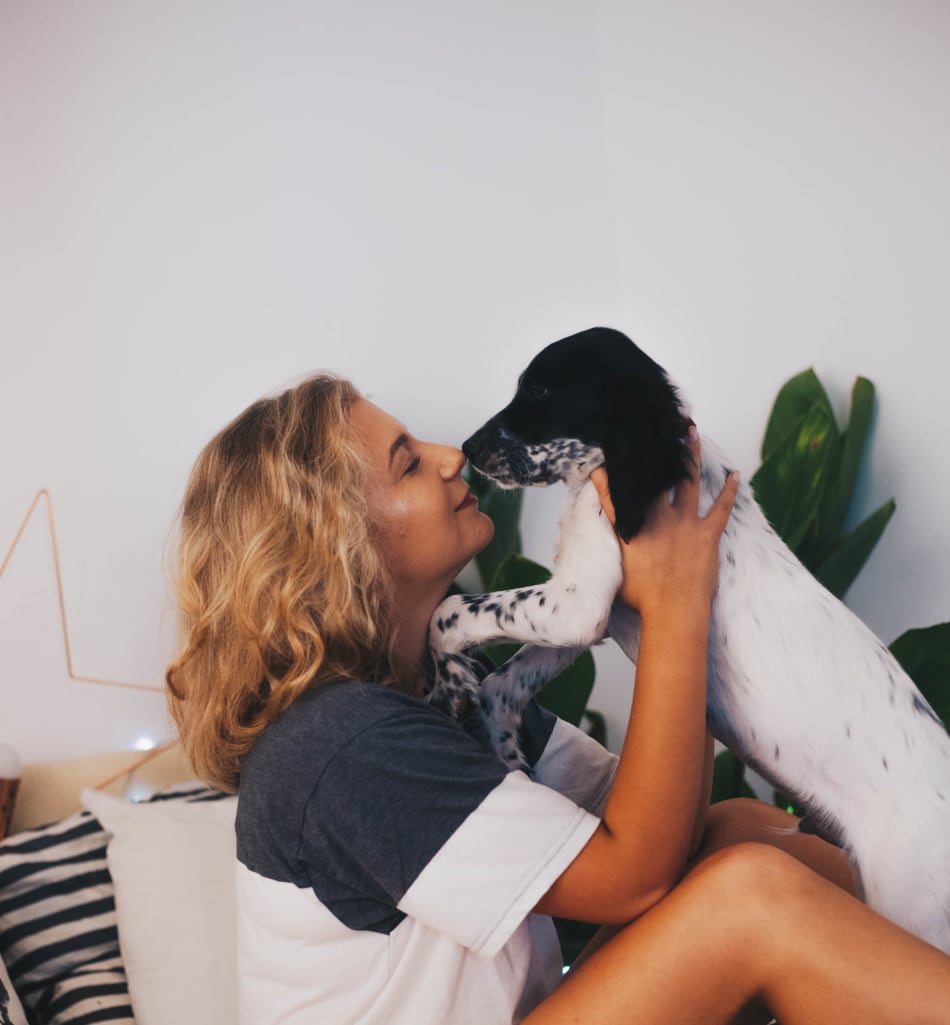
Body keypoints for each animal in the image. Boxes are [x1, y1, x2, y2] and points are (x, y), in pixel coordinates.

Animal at [430, 325, 950, 951]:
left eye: (541, 390)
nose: (468, 448)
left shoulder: (577, 604)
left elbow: (449, 611)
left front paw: (450, 676)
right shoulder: (590, 618)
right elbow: (501, 684)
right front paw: (504, 751)